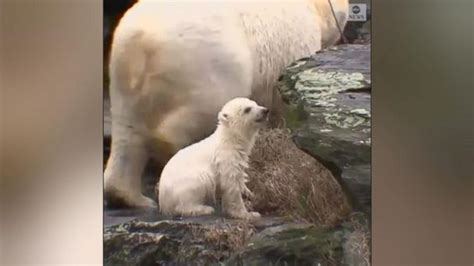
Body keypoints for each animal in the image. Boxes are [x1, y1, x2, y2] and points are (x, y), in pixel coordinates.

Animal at [104, 0, 348, 208]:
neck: (311, 6)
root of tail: (140, 42)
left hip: (123, 81)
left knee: (128, 134)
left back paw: (131, 197)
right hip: (207, 65)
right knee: (197, 114)